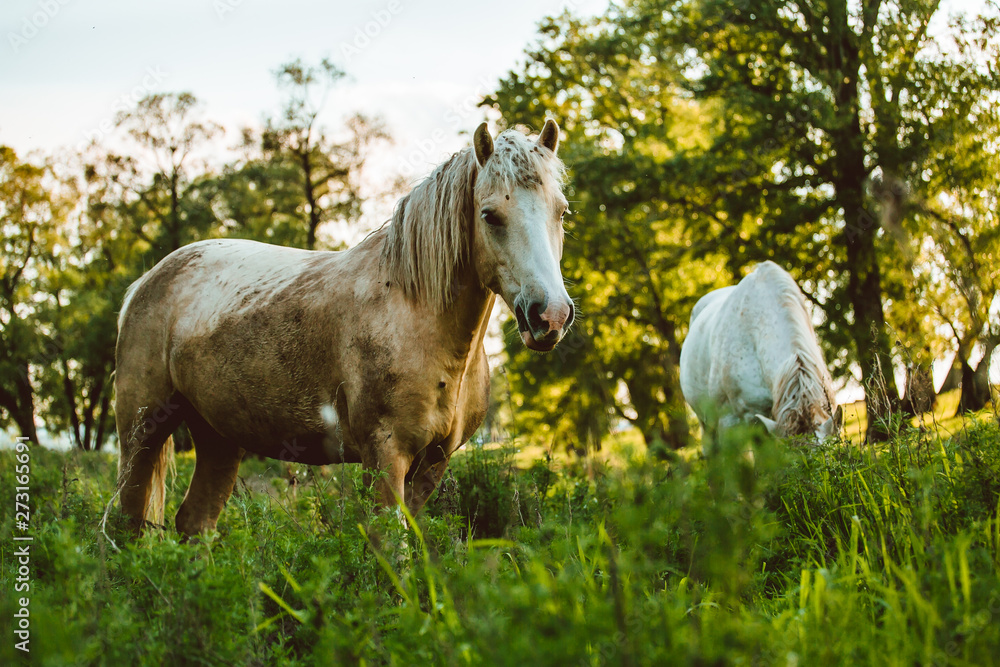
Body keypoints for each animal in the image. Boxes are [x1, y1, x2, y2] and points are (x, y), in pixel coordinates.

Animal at [113, 120, 576, 536]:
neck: (414, 313)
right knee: (126, 523)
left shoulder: (432, 464)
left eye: (561, 211)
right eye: (489, 215)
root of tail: (147, 282)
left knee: (195, 523)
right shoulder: (385, 457)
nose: (549, 315)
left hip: (218, 438)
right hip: (142, 434)